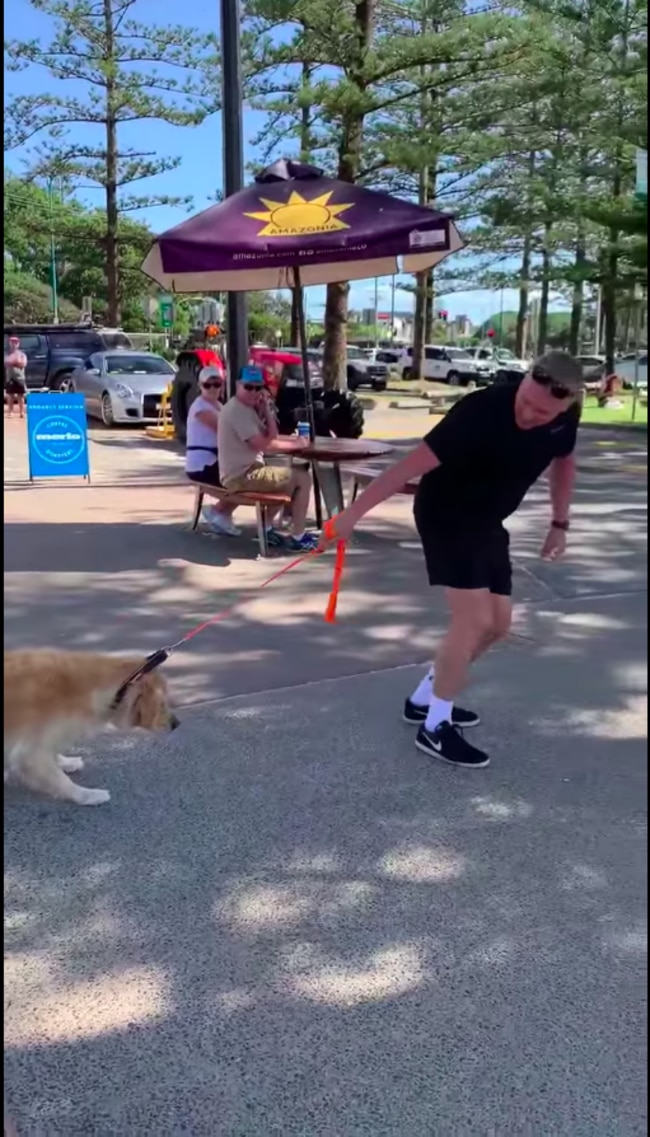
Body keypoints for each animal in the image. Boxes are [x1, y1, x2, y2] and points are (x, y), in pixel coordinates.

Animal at [4, 650, 180, 809]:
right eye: (162, 704)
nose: (177, 724)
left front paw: (65, 762)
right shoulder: (30, 751)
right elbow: (61, 780)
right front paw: (87, 795)